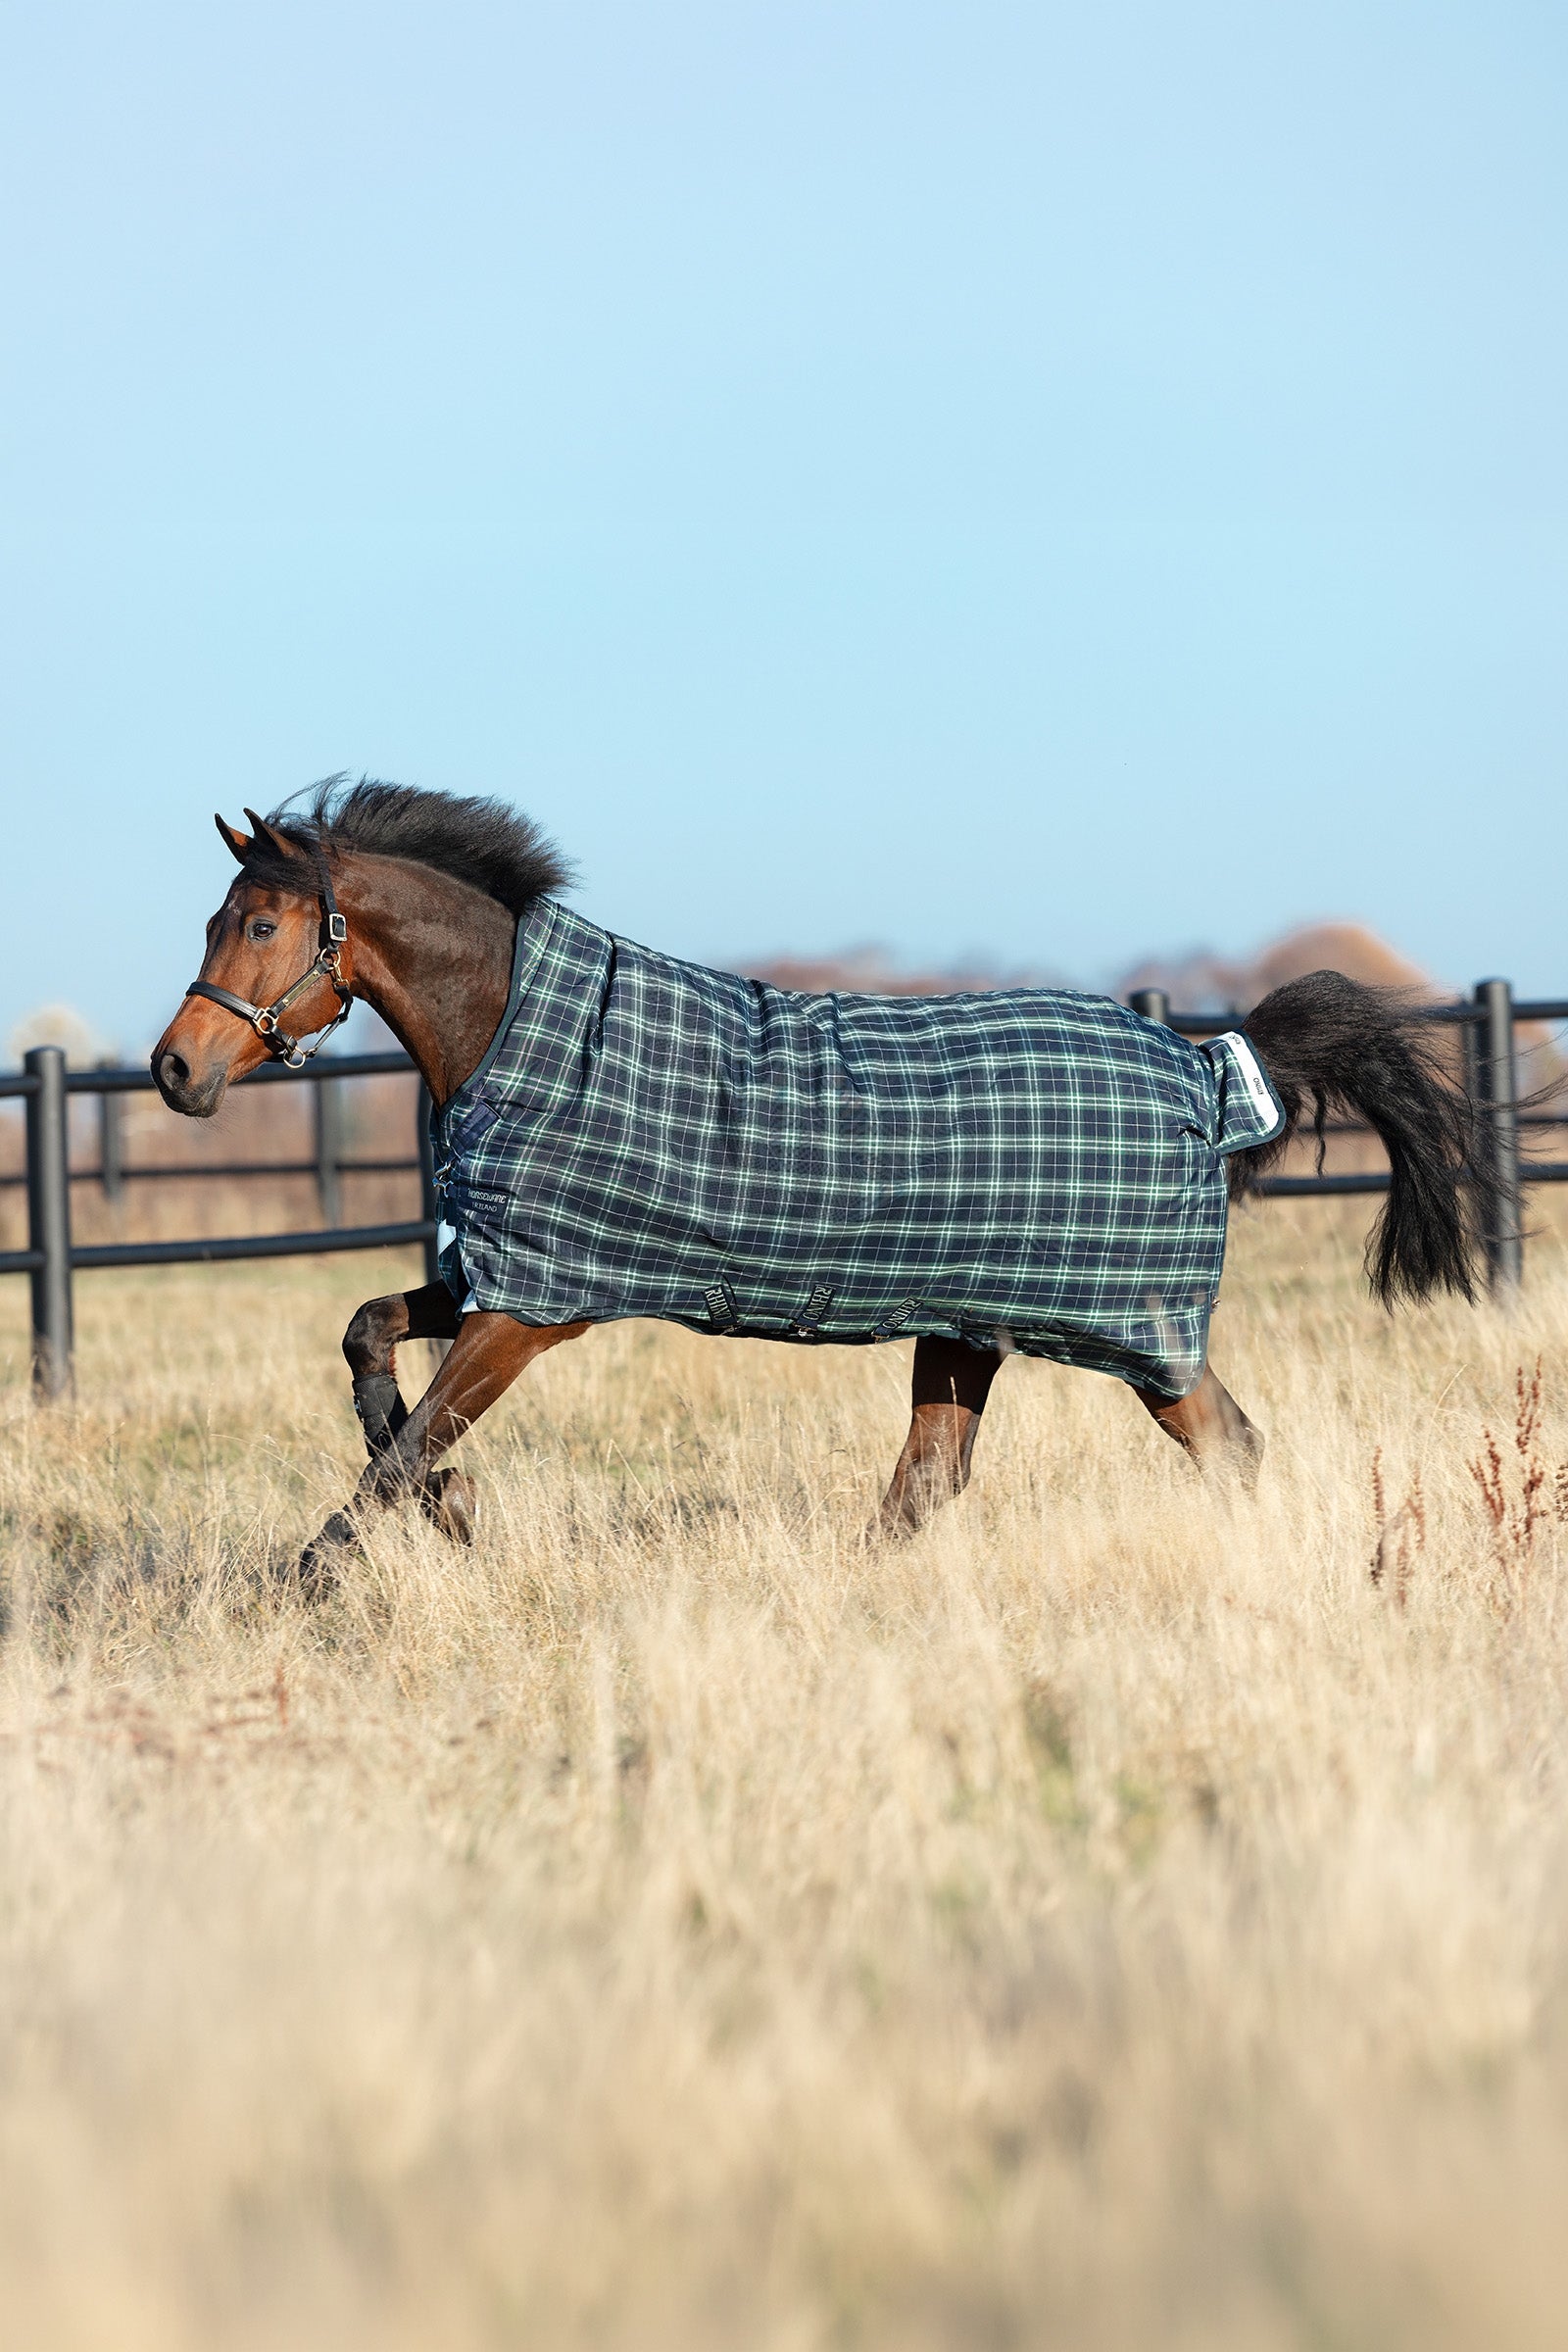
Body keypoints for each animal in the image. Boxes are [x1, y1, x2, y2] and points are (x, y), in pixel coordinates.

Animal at [151, 780, 1489, 1586]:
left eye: (261, 925)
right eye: (218, 920)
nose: (175, 1070)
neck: (518, 1030)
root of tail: (1207, 1069)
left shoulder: (535, 1308)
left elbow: (407, 1440)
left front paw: (326, 1568)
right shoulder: (500, 1274)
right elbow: (368, 1339)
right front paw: (452, 1504)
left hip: (1130, 1329)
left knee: (1229, 1448)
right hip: (967, 1330)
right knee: (927, 1488)